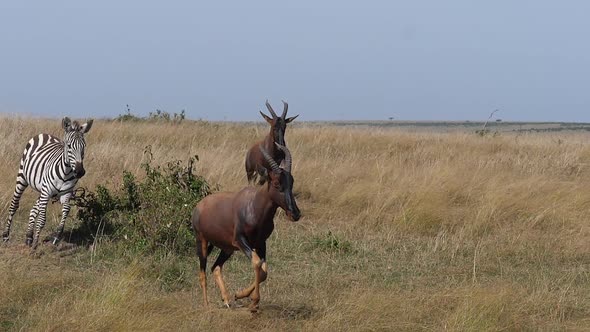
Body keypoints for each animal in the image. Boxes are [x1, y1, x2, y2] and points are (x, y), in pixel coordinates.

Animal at [2, 116, 93, 249]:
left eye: (84, 146)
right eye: (69, 146)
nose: (80, 172)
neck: (66, 172)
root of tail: (45, 134)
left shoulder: (65, 193)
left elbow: (66, 209)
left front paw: (57, 236)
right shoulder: (47, 191)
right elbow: (42, 219)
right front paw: (36, 244)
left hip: (42, 189)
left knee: (34, 209)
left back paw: (29, 236)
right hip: (23, 178)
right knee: (14, 205)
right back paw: (6, 235)